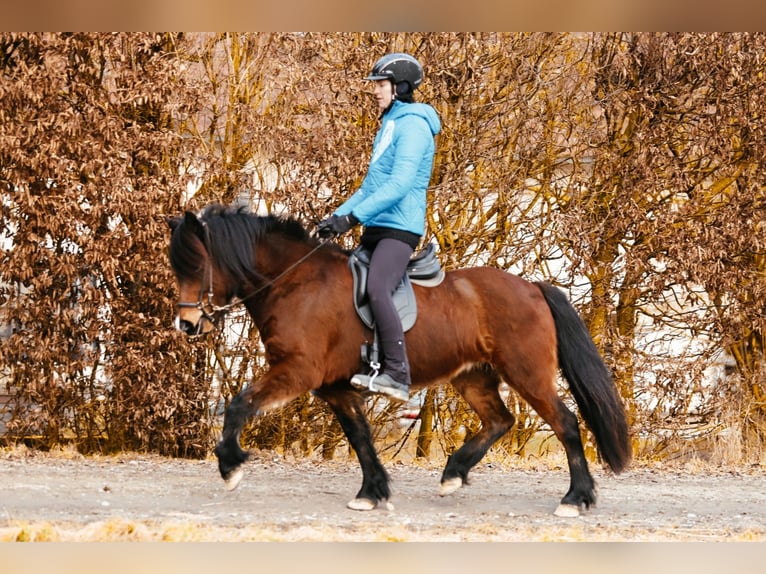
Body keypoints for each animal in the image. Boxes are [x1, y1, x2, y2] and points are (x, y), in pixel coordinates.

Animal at [166, 202, 632, 516]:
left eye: (199, 265)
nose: (187, 325)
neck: (295, 282)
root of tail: (533, 287)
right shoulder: (334, 386)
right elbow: (360, 437)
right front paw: (372, 492)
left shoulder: (297, 370)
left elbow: (239, 404)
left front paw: (230, 466)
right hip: (472, 376)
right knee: (500, 420)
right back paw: (453, 474)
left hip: (527, 373)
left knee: (566, 423)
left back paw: (575, 498)